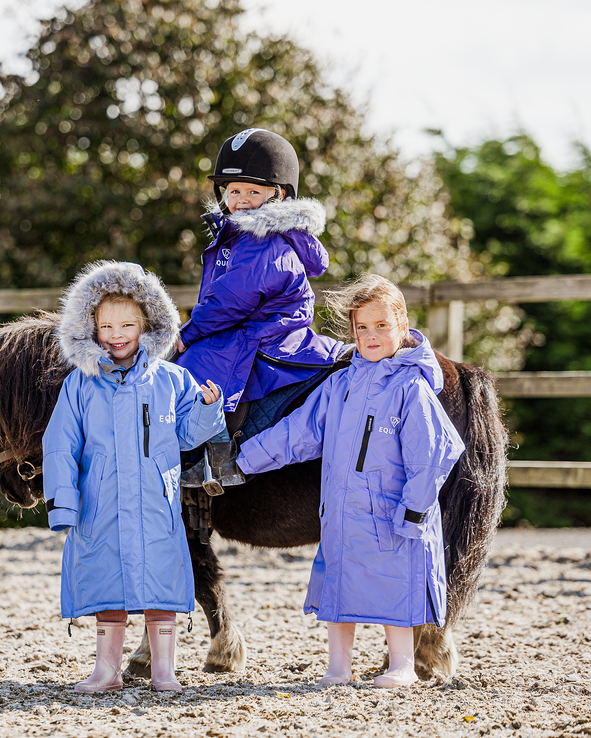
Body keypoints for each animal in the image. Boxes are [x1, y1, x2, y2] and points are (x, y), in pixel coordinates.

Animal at [0, 311, 508, 680]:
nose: (14, 488)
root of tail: (456, 370)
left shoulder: (181, 517)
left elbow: (198, 582)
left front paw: (215, 653)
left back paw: (420, 657)